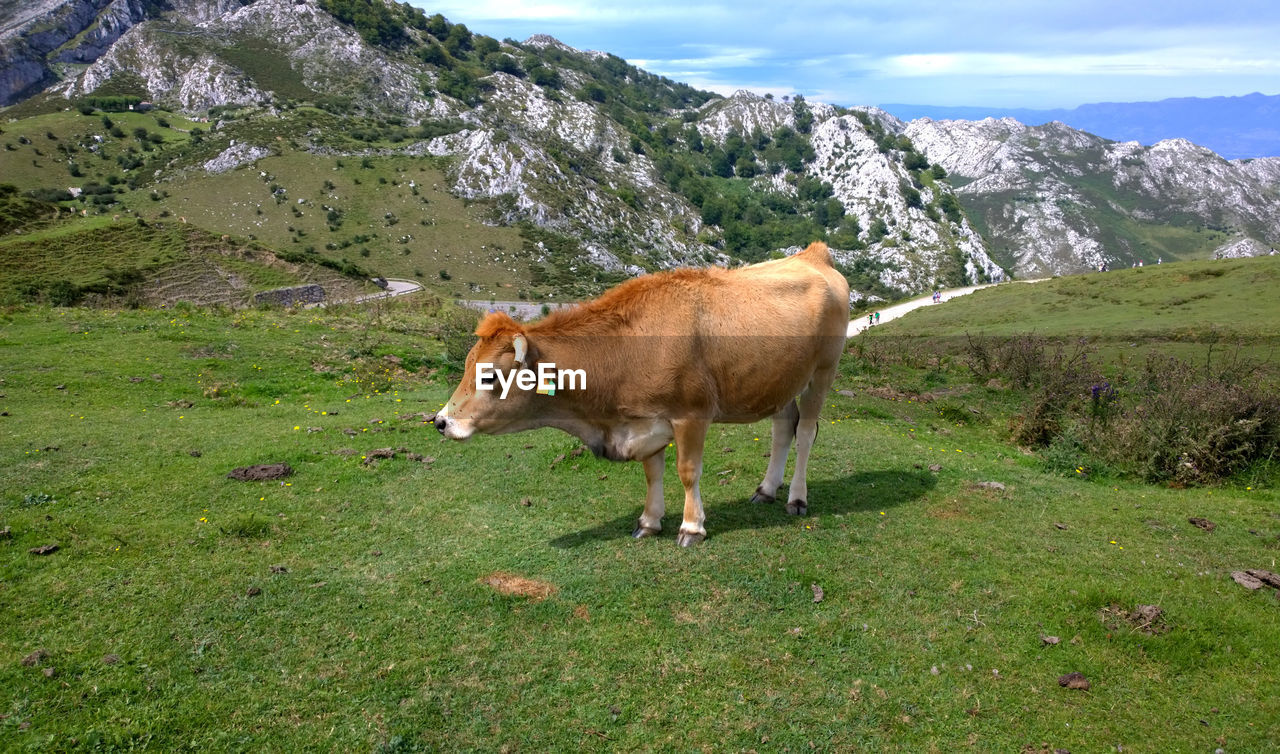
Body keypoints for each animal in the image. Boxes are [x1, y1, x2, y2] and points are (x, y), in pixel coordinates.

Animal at [432, 244, 849, 542]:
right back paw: (766, 489)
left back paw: (796, 497)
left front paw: (691, 526)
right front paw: (649, 521)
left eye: (489, 377)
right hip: (779, 380)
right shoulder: (644, 419)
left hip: (822, 373)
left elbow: (687, 471)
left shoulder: (692, 414)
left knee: (806, 432)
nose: (440, 421)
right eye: (467, 367)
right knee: (783, 428)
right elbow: (652, 473)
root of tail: (813, 254)